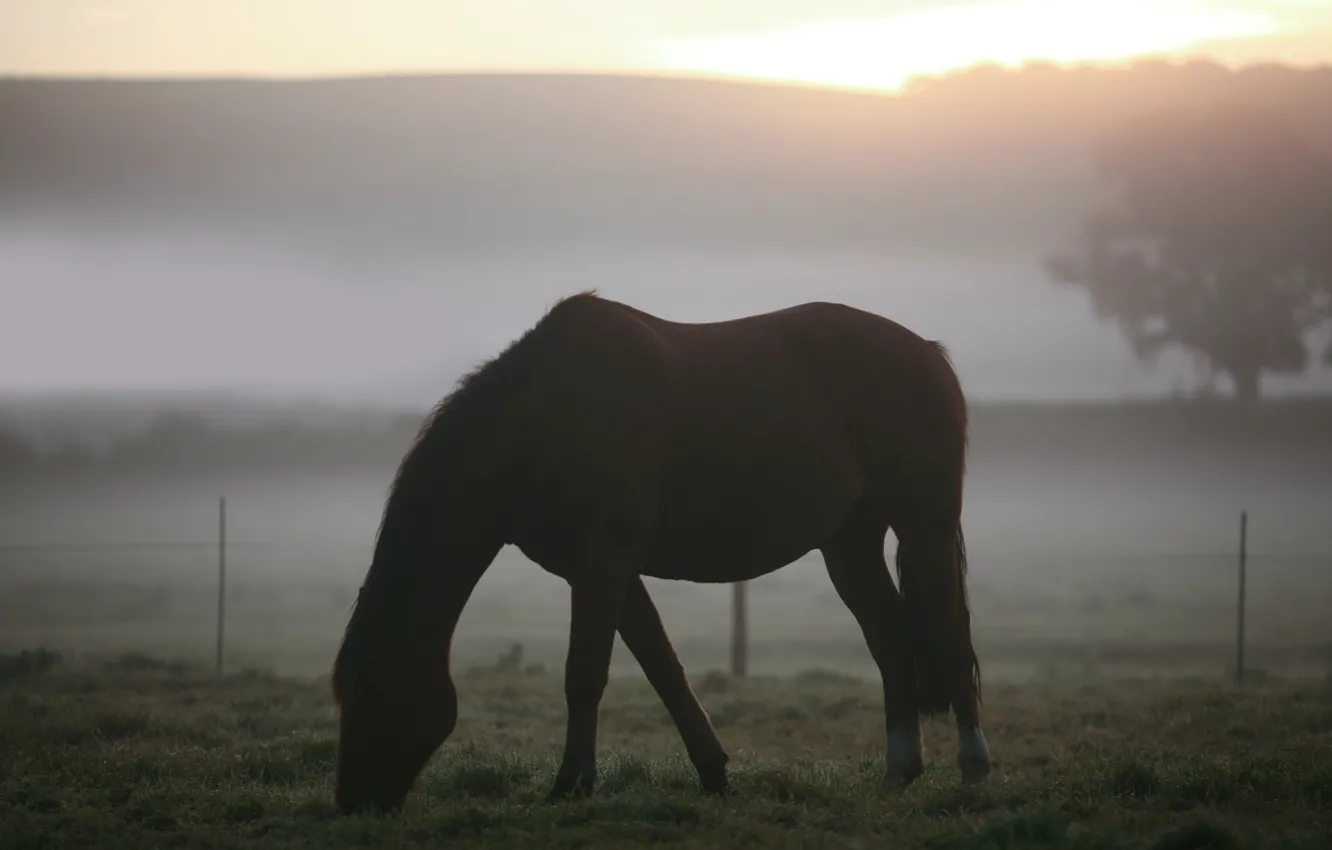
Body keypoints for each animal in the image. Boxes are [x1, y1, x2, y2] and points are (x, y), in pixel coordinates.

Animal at [330, 294, 991, 820]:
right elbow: (662, 668)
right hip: (848, 545)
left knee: (951, 633)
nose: (352, 803)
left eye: (370, 689)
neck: (544, 423)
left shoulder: (601, 565)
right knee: (891, 640)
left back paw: (975, 768)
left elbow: (584, 675)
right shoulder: (609, 572)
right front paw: (713, 772)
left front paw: (569, 786)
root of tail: (927, 353)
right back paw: (898, 771)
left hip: (924, 527)